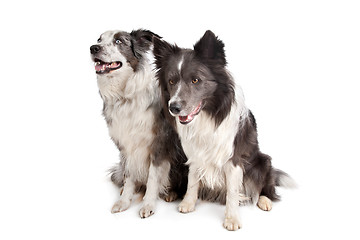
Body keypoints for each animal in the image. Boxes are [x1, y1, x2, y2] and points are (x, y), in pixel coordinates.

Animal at [153, 30, 294, 231]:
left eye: (195, 80)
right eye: (171, 81)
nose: (174, 107)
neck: (208, 115)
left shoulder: (233, 159)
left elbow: (233, 192)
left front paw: (232, 218)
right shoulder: (194, 155)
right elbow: (193, 180)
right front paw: (188, 203)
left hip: (263, 161)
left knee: (266, 185)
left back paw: (265, 200)